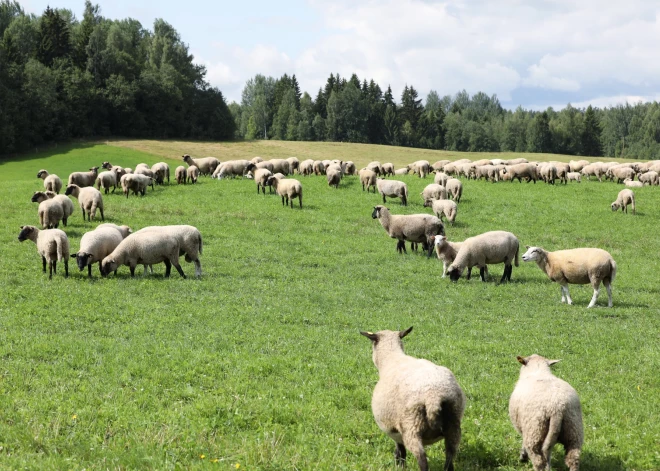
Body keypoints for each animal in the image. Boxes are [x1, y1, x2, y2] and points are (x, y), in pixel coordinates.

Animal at [358, 328, 466, 471]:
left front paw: (400, 465)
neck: (392, 358)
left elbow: (400, 451)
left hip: (412, 426)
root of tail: (433, 397)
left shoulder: (395, 431)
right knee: (449, 457)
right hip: (453, 423)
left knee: (422, 459)